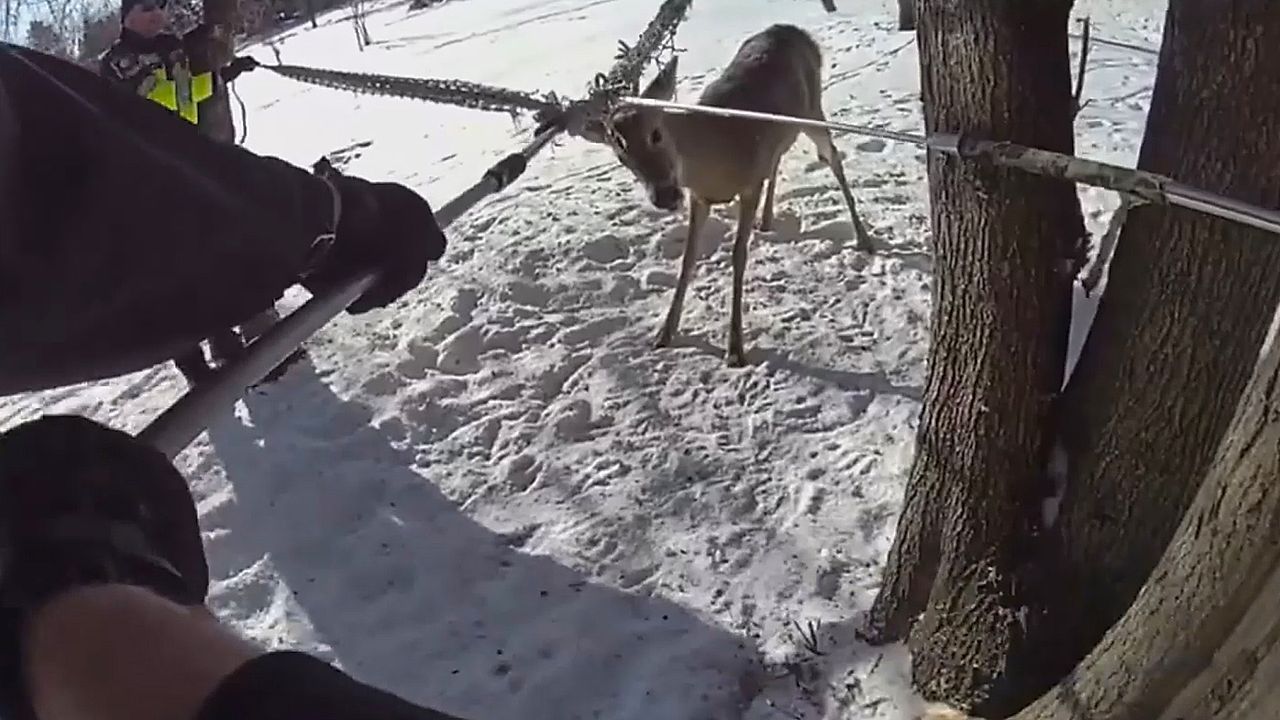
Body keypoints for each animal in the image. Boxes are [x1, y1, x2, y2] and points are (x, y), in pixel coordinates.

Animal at [583, 24, 872, 367]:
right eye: (620, 152)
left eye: (656, 133)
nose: (665, 195)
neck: (715, 154)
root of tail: (794, 30)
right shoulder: (699, 197)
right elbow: (687, 259)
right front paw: (665, 333)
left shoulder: (747, 187)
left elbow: (738, 255)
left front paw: (735, 348)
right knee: (778, 158)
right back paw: (767, 219)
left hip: (813, 111)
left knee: (832, 157)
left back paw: (864, 238)